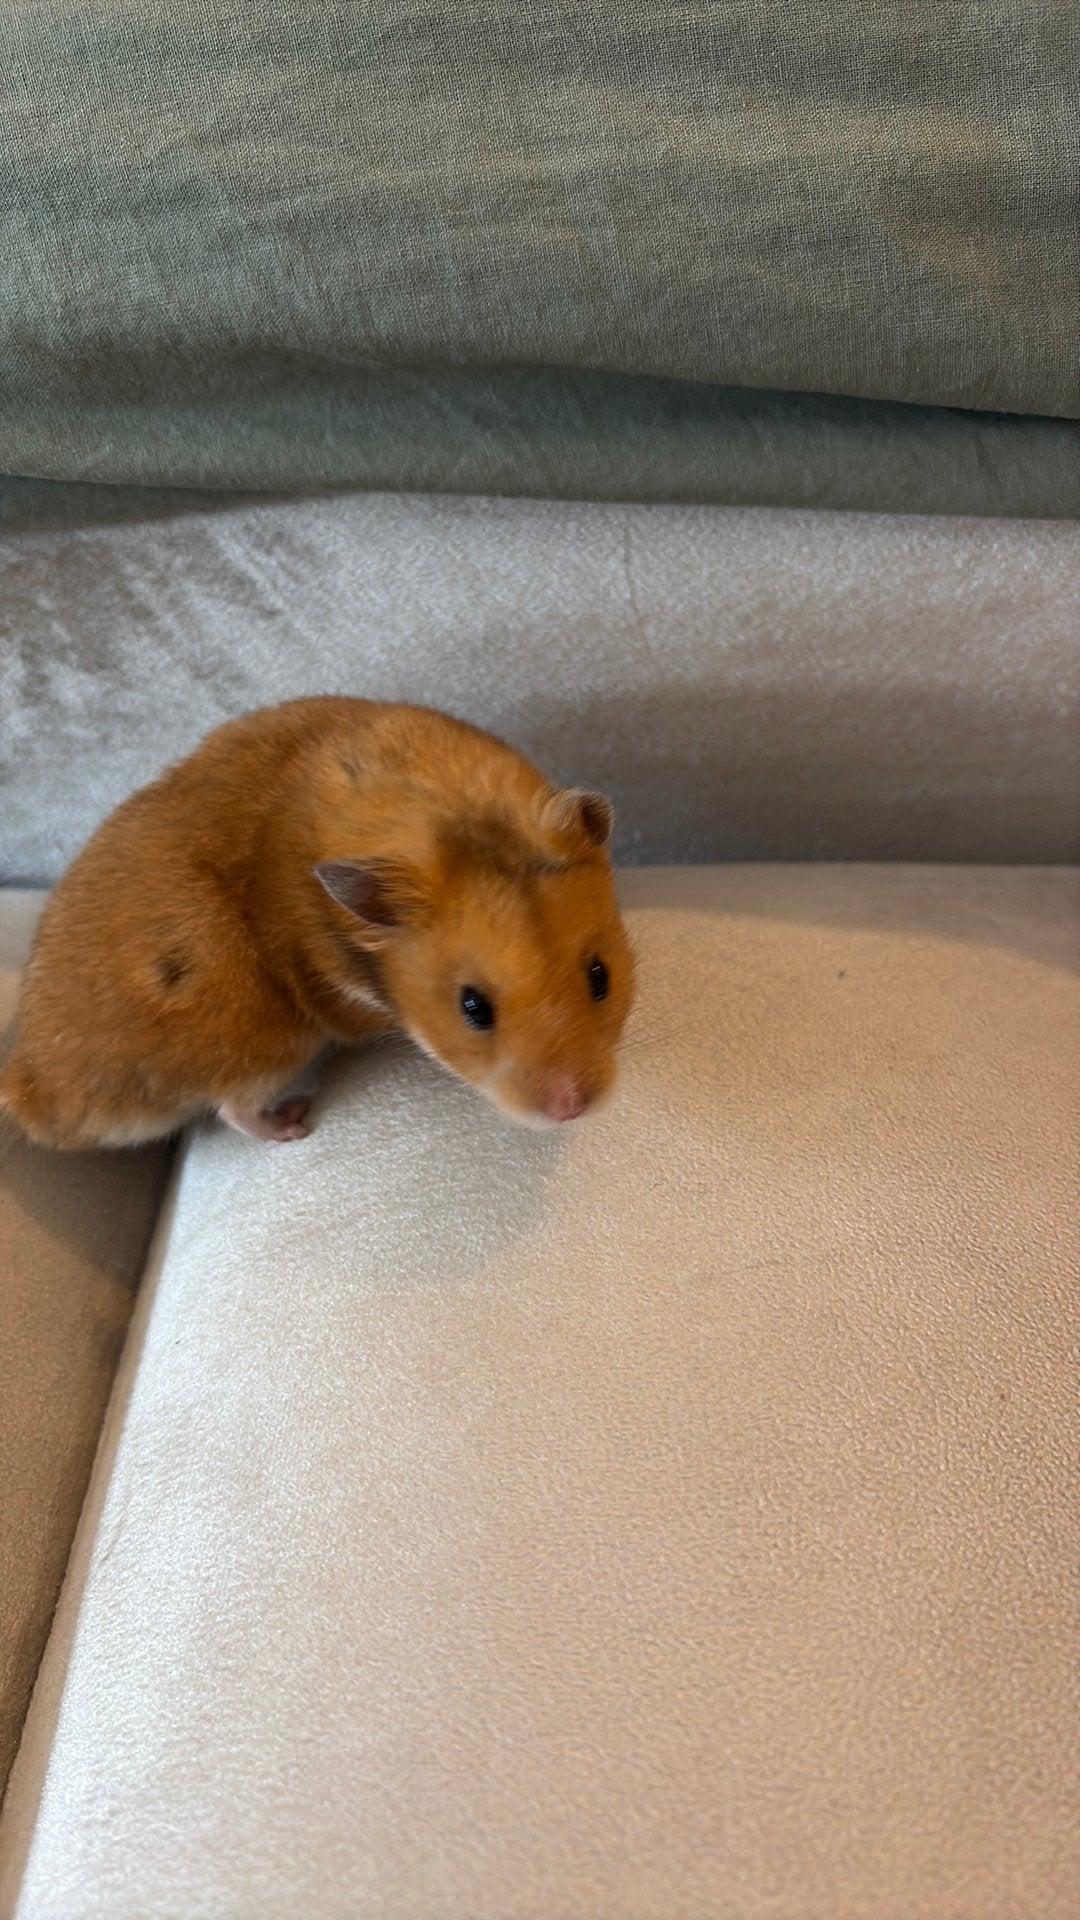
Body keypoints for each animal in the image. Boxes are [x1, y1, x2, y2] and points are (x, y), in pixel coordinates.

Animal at [1, 697, 635, 1148]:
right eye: (472, 1008)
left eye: (601, 976)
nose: (571, 1108)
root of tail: (29, 1086)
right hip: (264, 1040)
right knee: (231, 1107)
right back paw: (295, 1123)